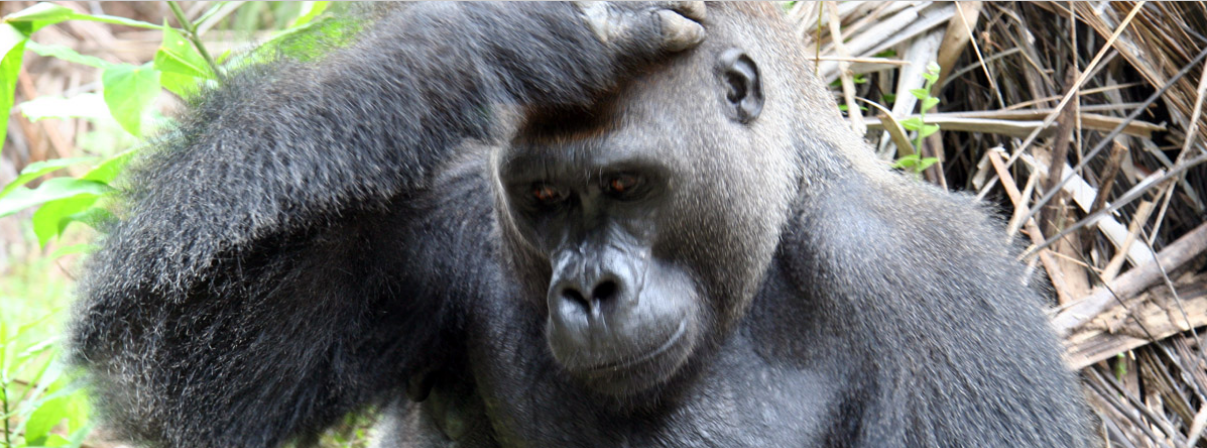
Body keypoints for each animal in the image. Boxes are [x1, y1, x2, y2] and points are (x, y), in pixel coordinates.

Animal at [69, 3, 1097, 447]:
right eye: (546, 200)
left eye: (626, 183)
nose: (590, 288)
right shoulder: (448, 222)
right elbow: (153, 381)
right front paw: (481, 34)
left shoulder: (932, 280)